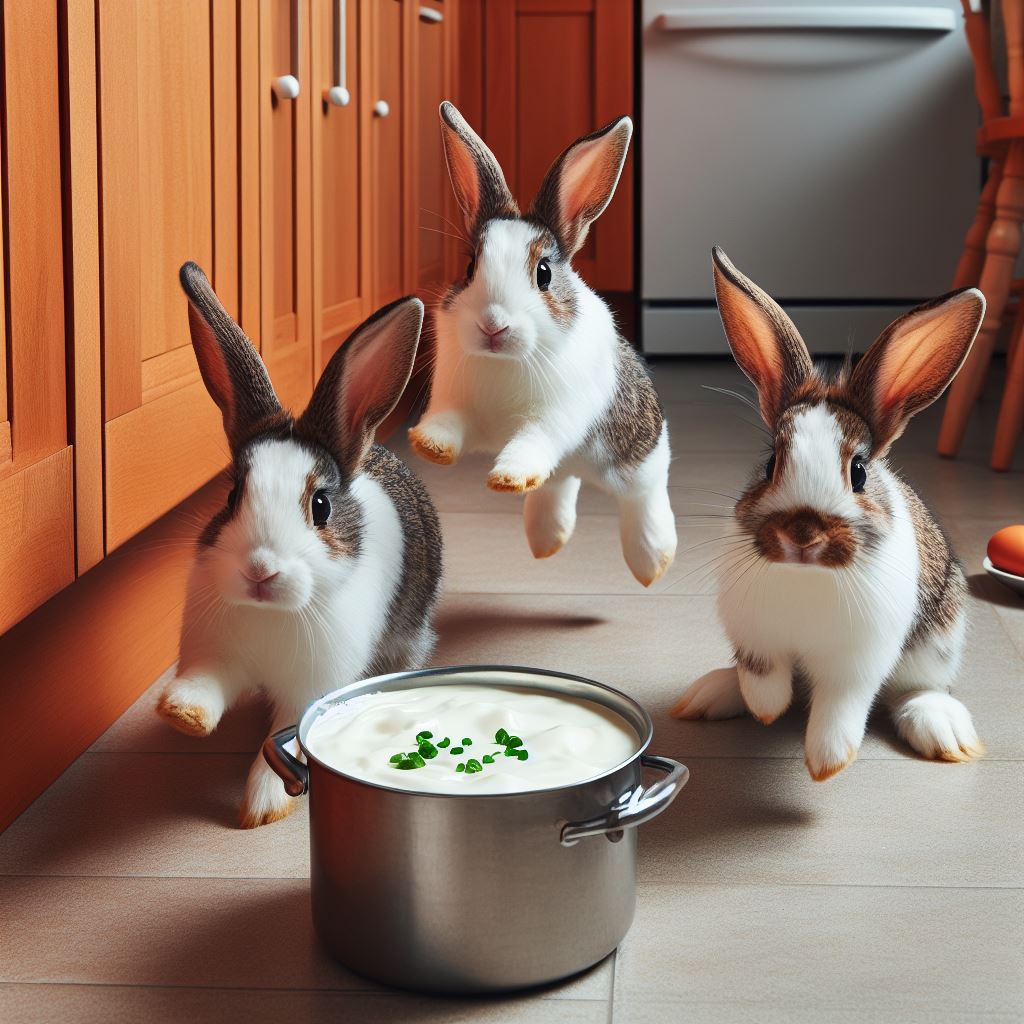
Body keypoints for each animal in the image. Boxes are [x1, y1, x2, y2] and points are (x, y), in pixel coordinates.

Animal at [156, 262, 440, 823]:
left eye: (321, 507)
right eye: (232, 495)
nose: (260, 570)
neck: (272, 615)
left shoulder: (313, 685)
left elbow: (285, 738)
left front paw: (264, 804)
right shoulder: (215, 652)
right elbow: (207, 684)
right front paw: (183, 715)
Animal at [407, 101, 679, 593]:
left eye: (544, 273)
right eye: (470, 267)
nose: (492, 324)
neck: (504, 362)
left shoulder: (553, 417)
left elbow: (532, 440)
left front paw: (508, 477)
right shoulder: (456, 402)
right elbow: (449, 423)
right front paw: (431, 447)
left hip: (638, 457)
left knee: (644, 497)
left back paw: (652, 563)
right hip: (569, 470)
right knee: (556, 483)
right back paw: (546, 538)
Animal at [667, 251, 987, 778]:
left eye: (859, 472)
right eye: (770, 463)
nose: (802, 534)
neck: (806, 576)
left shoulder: (856, 662)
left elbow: (842, 706)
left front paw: (826, 762)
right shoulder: (755, 638)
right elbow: (762, 676)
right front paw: (768, 709)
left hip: (938, 639)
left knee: (916, 691)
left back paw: (942, 730)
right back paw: (709, 694)